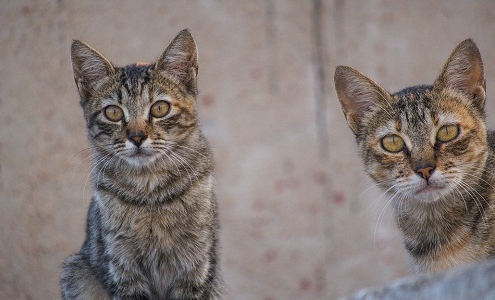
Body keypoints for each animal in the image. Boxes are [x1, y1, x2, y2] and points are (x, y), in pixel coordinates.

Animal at [60, 28, 223, 300]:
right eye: (113, 112)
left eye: (159, 108)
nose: (136, 137)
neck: (149, 194)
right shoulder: (122, 267)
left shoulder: (196, 265)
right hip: (75, 271)